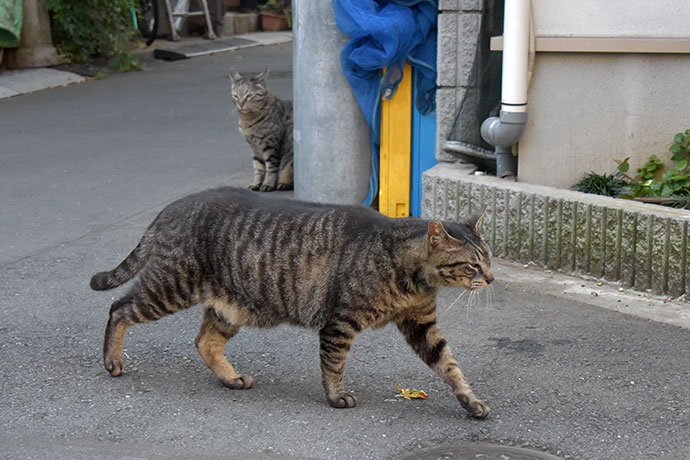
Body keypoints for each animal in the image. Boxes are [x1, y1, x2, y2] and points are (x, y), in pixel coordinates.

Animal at [90, 186, 490, 416]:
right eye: (473, 263)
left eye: (488, 258)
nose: (490, 278)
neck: (411, 278)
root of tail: (172, 206)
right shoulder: (340, 322)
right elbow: (334, 364)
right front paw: (336, 397)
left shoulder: (422, 324)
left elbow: (450, 365)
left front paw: (470, 401)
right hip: (170, 287)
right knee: (119, 309)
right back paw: (113, 360)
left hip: (229, 307)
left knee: (205, 342)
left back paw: (231, 378)